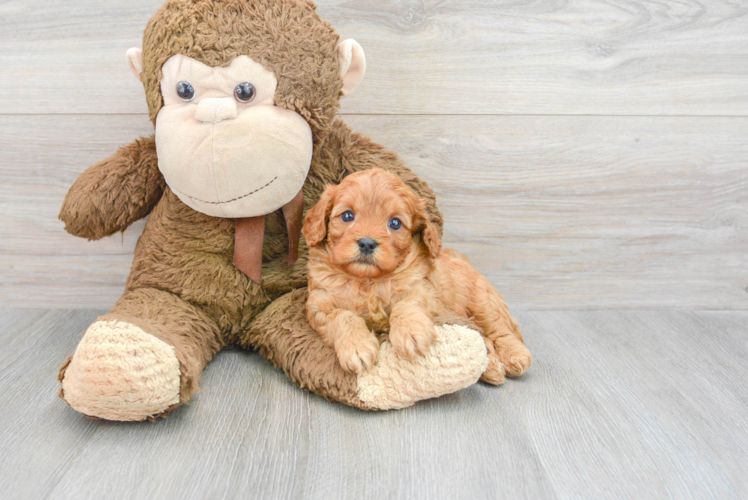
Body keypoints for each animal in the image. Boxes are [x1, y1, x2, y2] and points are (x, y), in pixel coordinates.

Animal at [300, 168, 528, 382]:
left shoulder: (424, 290)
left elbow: (407, 303)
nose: (367, 243)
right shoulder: (318, 305)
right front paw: (357, 347)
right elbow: (342, 316)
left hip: (482, 302)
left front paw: (410, 333)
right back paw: (492, 368)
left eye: (394, 223)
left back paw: (515, 356)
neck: (368, 281)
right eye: (347, 216)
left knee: (500, 329)